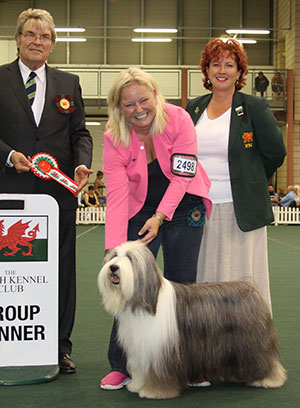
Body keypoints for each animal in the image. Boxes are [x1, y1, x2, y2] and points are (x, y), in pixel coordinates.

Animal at [98, 239, 286, 398]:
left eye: (129, 258)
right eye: (114, 256)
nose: (113, 267)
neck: (145, 301)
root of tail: (250, 288)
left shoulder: (161, 351)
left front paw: (154, 391)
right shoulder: (141, 349)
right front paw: (136, 385)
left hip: (252, 342)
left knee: (264, 359)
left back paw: (269, 379)